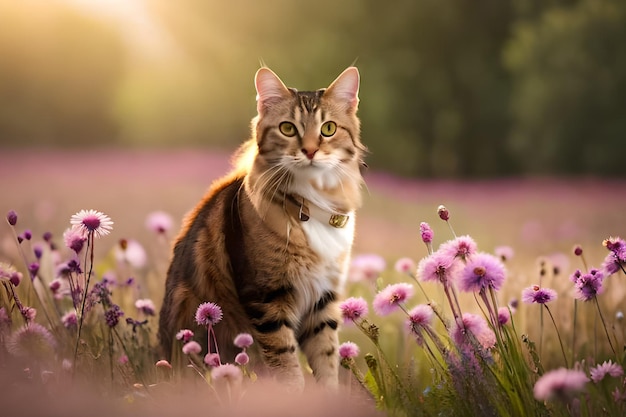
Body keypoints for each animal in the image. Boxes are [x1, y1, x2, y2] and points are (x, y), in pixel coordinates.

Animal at [157, 66, 366, 390]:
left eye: (328, 129)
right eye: (288, 129)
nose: (309, 151)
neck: (311, 202)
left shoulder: (323, 300)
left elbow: (327, 359)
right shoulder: (266, 298)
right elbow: (287, 365)